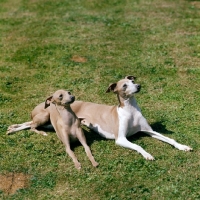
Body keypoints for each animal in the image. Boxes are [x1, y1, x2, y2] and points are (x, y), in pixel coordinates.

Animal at [7, 76, 192, 159]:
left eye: (133, 81)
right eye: (124, 86)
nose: (139, 86)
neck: (130, 110)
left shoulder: (149, 131)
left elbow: (170, 139)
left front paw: (183, 146)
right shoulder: (120, 139)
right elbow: (138, 146)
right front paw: (147, 155)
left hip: (48, 123)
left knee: (28, 123)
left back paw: (12, 128)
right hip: (46, 117)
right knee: (31, 123)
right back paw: (12, 129)